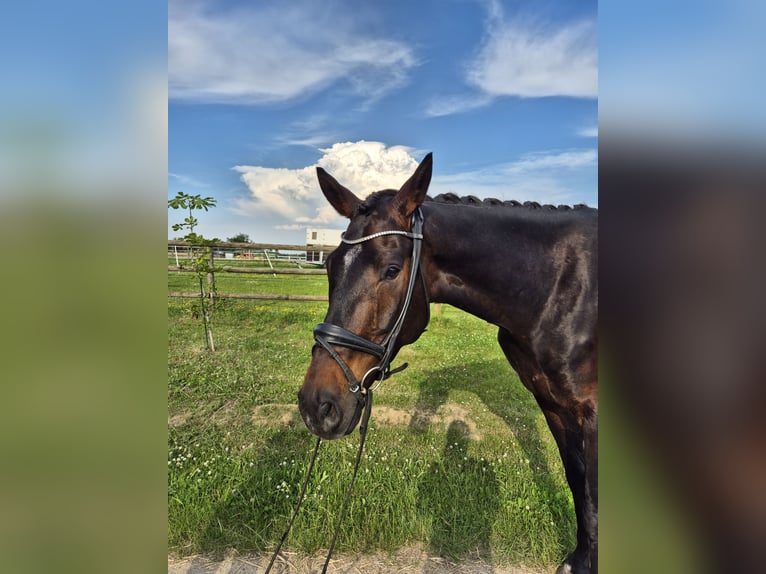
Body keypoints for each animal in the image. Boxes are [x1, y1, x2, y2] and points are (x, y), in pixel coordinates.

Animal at [297, 153, 598, 574]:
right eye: (329, 265)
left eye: (392, 269)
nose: (317, 405)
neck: (558, 286)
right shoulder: (554, 404)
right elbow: (578, 481)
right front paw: (581, 559)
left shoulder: (594, 412)